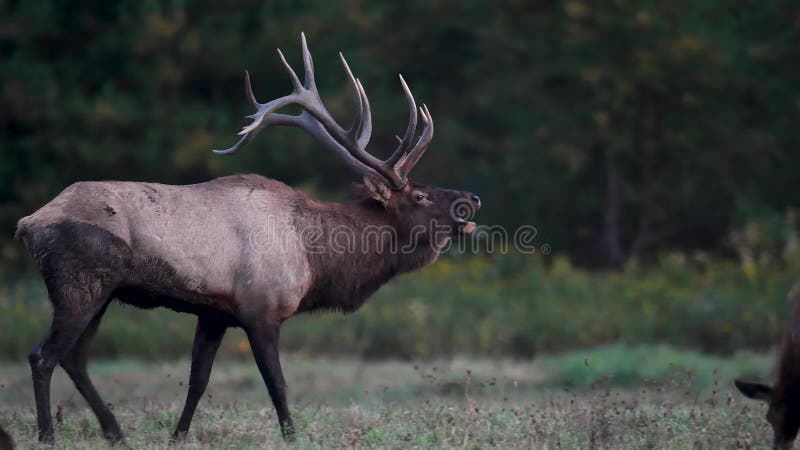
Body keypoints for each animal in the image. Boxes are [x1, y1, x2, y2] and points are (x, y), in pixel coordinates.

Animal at [17, 32, 482, 442]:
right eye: (420, 195)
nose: (472, 198)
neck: (315, 260)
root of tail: (28, 223)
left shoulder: (214, 313)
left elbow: (198, 381)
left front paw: (178, 435)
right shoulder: (261, 308)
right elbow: (276, 383)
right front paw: (292, 436)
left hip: (103, 292)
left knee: (75, 357)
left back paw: (114, 431)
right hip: (79, 284)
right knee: (44, 355)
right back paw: (48, 434)